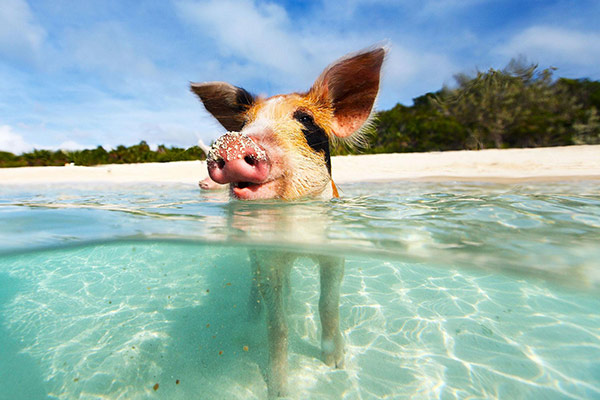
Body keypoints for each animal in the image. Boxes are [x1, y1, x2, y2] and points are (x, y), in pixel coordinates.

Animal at [191, 47, 384, 396]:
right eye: (244, 124)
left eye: (305, 119)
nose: (233, 142)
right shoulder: (269, 258)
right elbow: (277, 324)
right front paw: (279, 391)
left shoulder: (335, 254)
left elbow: (327, 303)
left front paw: (336, 363)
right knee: (255, 283)